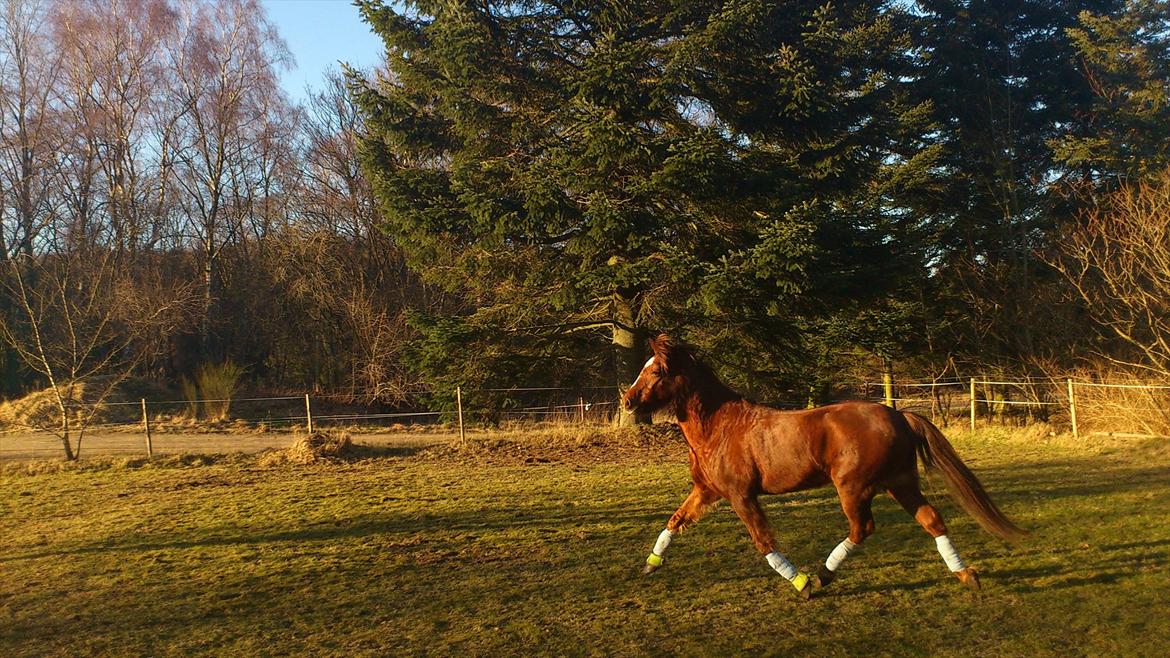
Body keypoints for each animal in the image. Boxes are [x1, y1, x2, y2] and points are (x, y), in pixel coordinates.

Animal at [622, 334, 1024, 597]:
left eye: (656, 371)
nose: (627, 401)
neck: (719, 427)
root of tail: (898, 415)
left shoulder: (741, 495)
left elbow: (763, 541)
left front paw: (800, 584)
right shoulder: (706, 491)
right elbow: (675, 521)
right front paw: (650, 564)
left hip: (854, 488)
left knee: (863, 528)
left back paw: (822, 576)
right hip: (901, 483)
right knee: (932, 520)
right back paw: (967, 575)